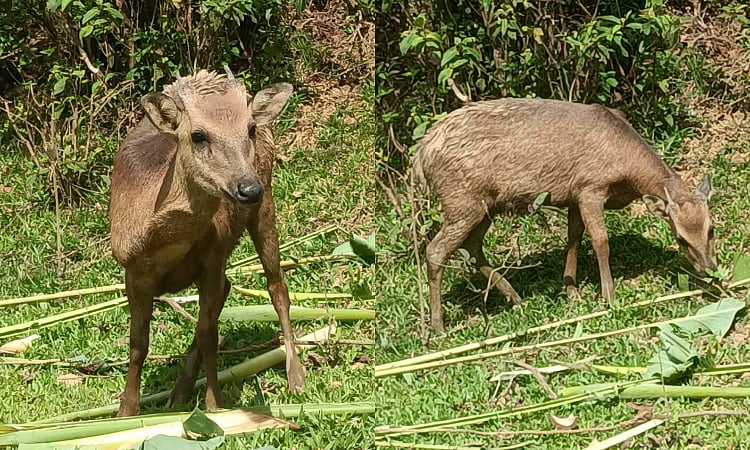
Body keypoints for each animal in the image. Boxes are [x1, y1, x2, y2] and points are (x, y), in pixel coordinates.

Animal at [108, 68, 305, 416]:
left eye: (249, 129)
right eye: (198, 135)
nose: (247, 188)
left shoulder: (213, 256)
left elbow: (208, 334)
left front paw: (216, 406)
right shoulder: (132, 272)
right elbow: (138, 344)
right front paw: (125, 412)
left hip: (266, 201)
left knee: (276, 286)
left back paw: (296, 376)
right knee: (229, 290)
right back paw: (179, 392)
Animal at [412, 97, 717, 332]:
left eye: (711, 229)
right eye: (680, 239)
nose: (710, 269)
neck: (628, 174)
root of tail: (420, 158)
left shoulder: (574, 195)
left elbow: (573, 238)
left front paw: (571, 290)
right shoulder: (591, 187)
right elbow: (600, 241)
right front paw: (608, 297)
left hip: (485, 206)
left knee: (472, 248)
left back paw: (516, 298)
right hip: (461, 200)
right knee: (436, 251)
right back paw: (438, 326)